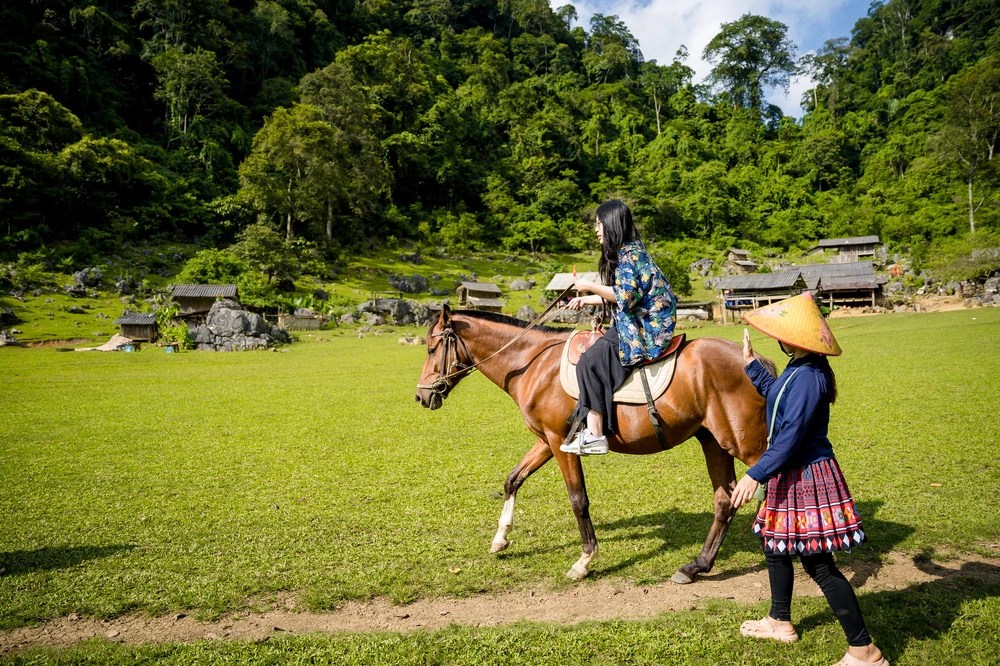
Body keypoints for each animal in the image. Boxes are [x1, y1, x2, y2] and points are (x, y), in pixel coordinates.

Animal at [414, 304, 772, 580]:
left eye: (431, 349)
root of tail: (757, 361)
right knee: (725, 500)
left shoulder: (560, 443)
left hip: (745, 444)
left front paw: (584, 560)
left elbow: (578, 499)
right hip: (714, 442)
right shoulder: (547, 442)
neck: (534, 363)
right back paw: (697, 565)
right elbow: (513, 479)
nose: (421, 396)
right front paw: (500, 539)